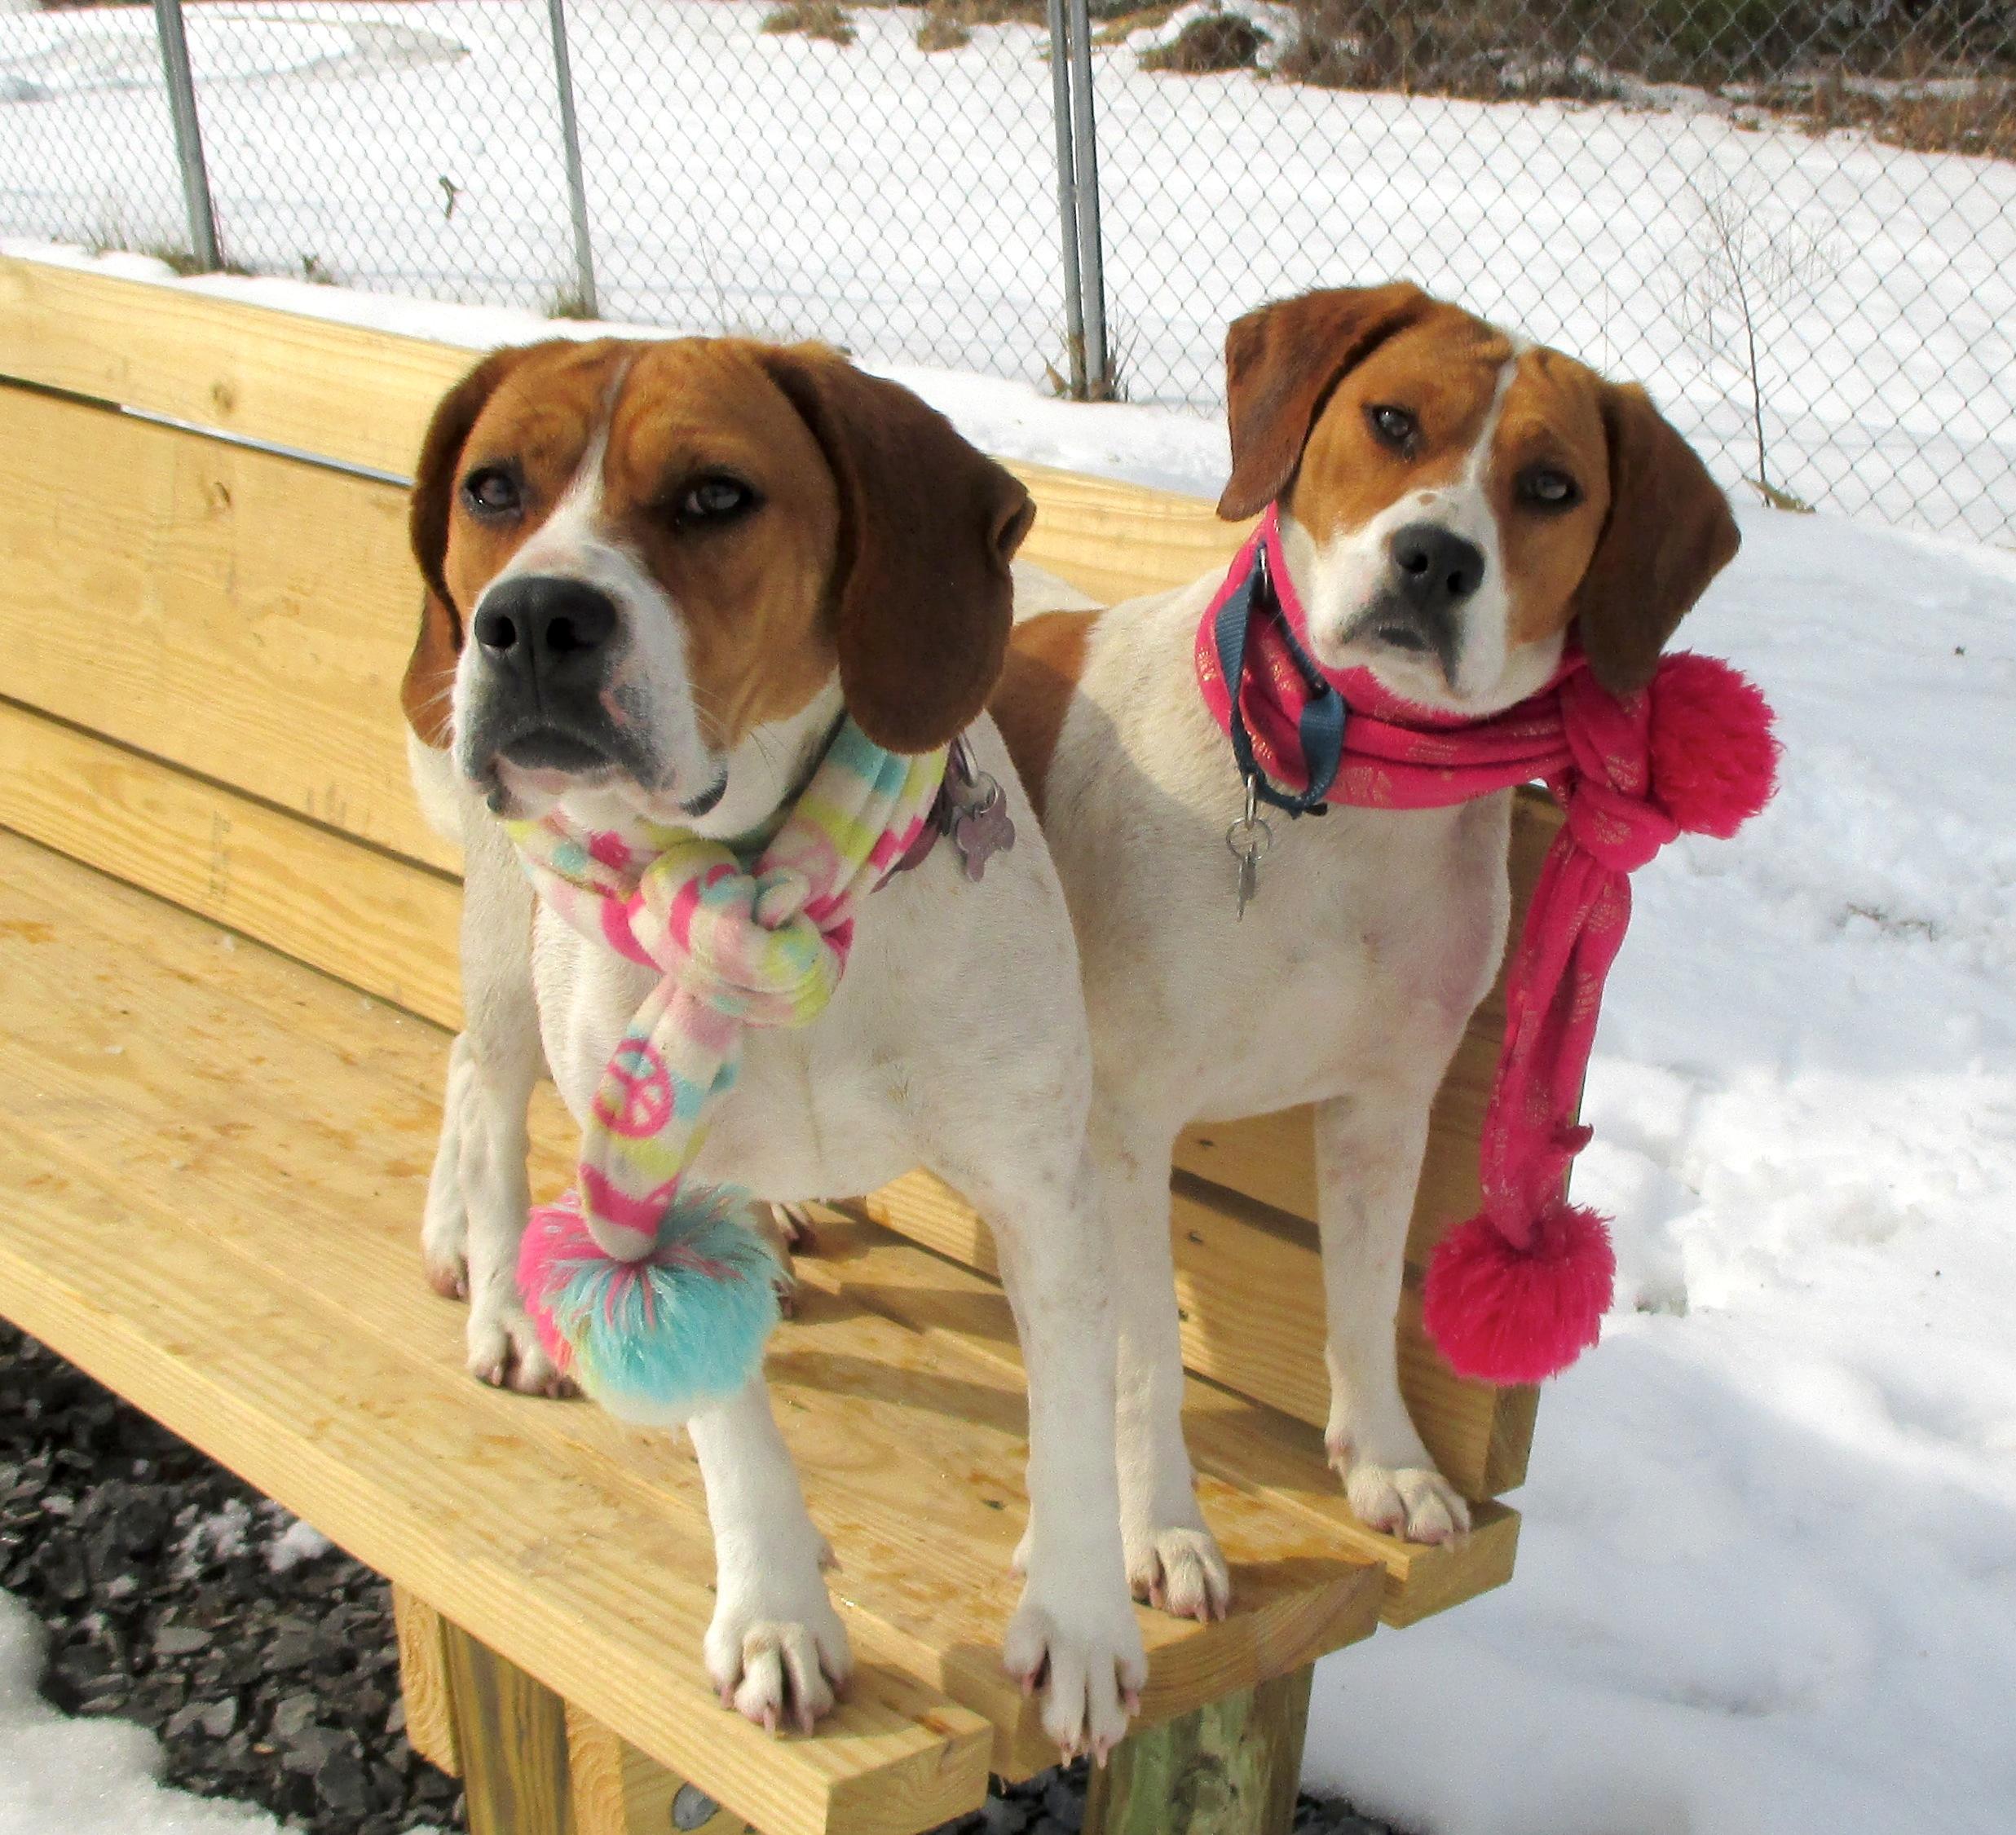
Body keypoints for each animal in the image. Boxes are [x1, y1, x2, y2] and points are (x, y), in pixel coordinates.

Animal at [399, 337, 1145, 1758]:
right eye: (493, 488)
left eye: (713, 495)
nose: (529, 618)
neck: (760, 885)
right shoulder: (649, 1188)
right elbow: (732, 1429)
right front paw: (774, 1611)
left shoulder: (1050, 1185)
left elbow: (1078, 1416)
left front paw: (1082, 1619)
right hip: (510, 936)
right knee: (479, 1079)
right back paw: (508, 1291)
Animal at [987, 280, 1733, 1612]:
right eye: (1391, 420)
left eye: (1550, 484)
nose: (1435, 558)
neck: (1347, 797)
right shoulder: (1120, 1128)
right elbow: (1140, 1354)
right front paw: (1153, 1525)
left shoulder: (1386, 1109)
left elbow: (1365, 1299)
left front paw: (1387, 1462)